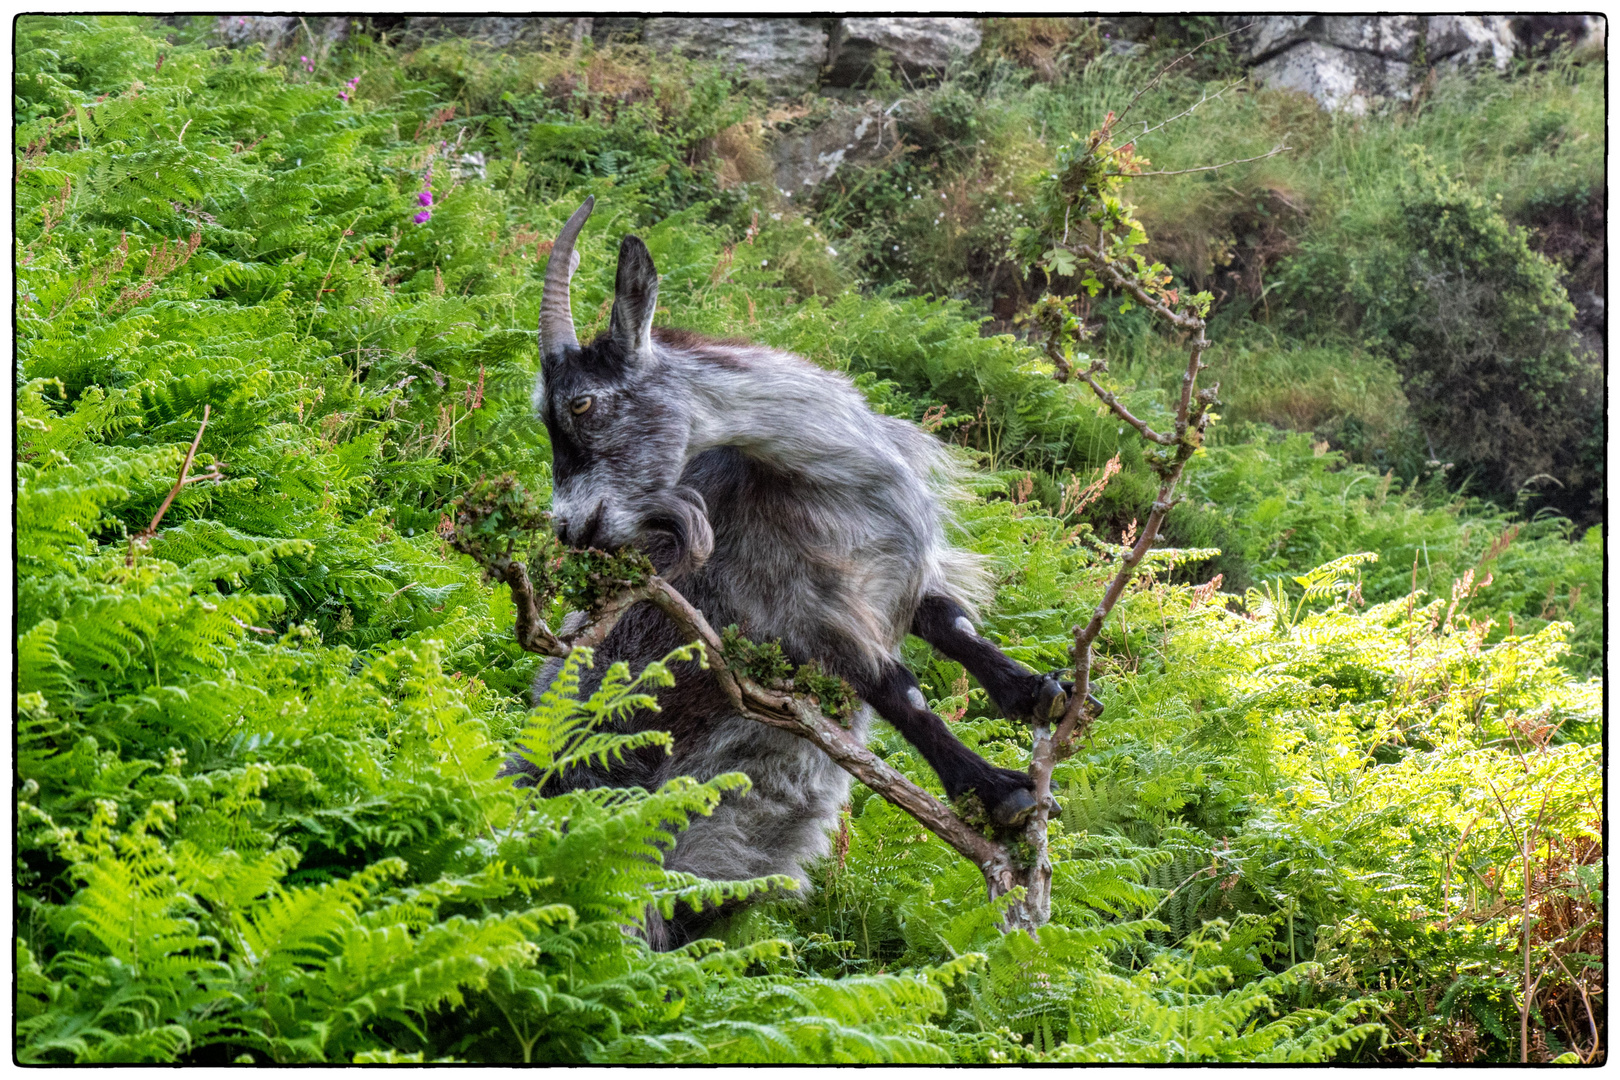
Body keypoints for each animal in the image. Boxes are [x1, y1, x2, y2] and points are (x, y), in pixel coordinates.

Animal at [505, 200, 1088, 945]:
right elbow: (898, 690)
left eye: (579, 403)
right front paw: (998, 792)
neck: (821, 482)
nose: (571, 528)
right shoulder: (793, 615)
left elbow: (955, 628)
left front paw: (1040, 693)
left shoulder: (893, 575)